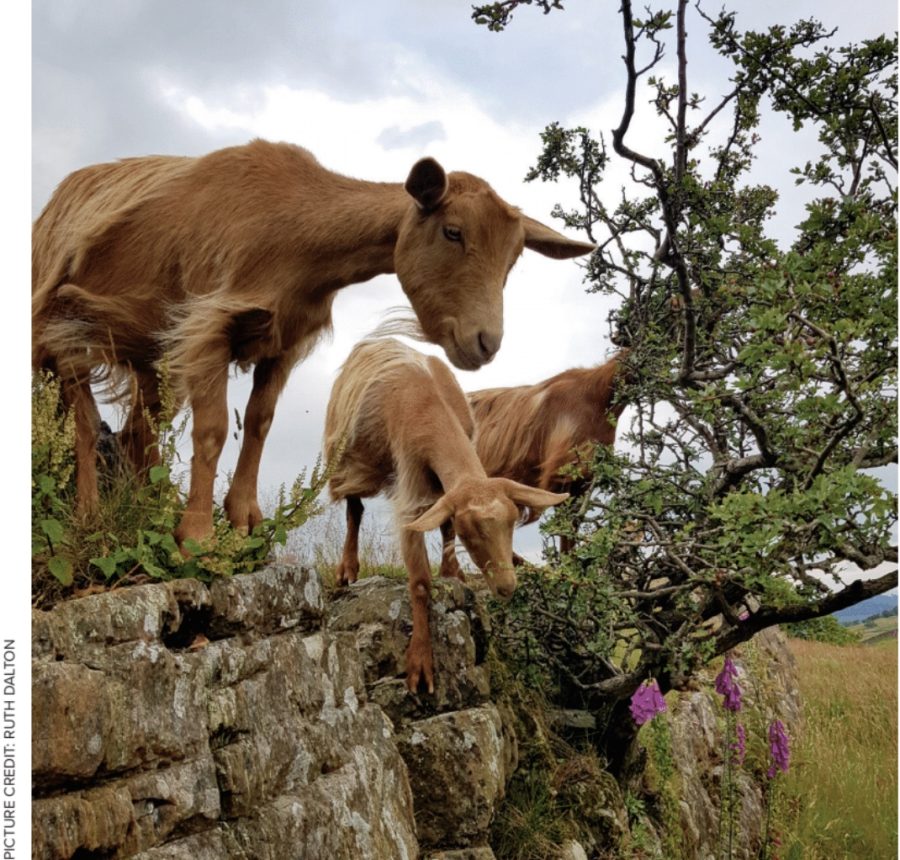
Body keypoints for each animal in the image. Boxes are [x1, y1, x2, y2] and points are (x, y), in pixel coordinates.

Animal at [31, 139, 596, 544]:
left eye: (515, 256)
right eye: (452, 231)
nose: (484, 342)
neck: (296, 231)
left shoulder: (284, 341)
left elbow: (259, 423)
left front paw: (243, 519)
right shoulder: (206, 324)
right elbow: (213, 431)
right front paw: (196, 534)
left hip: (144, 356)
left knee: (134, 430)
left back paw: (141, 510)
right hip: (61, 328)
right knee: (85, 422)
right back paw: (88, 515)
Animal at [324, 336, 568, 692]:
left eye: (512, 524)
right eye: (472, 533)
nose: (507, 587)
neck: (432, 404)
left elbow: (445, 527)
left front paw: (453, 572)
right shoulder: (410, 483)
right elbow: (420, 581)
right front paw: (420, 662)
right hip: (349, 452)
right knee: (354, 506)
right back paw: (348, 568)